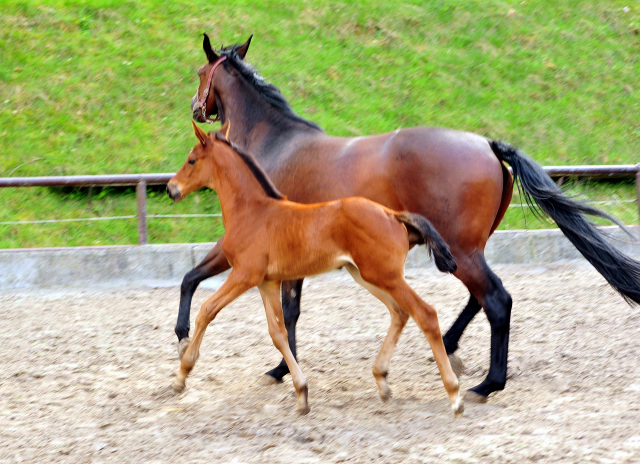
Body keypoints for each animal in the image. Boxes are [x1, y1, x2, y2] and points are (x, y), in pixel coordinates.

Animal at [168, 121, 462, 416]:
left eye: (191, 160)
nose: (171, 188)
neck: (253, 211)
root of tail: (392, 214)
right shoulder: (267, 282)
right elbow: (278, 333)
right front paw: (301, 392)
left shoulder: (244, 275)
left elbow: (207, 310)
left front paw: (182, 372)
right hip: (366, 275)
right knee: (400, 312)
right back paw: (382, 380)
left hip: (385, 276)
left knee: (425, 314)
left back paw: (454, 395)